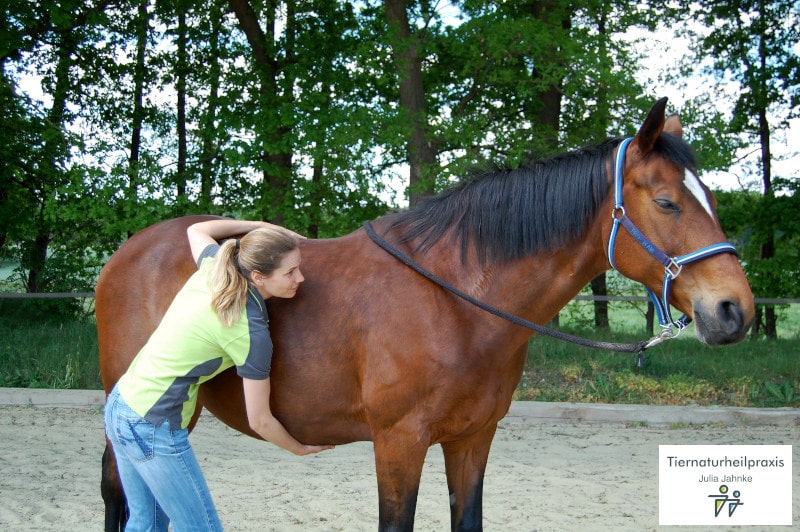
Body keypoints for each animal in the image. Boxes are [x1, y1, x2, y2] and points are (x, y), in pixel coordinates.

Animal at [97, 97, 752, 528]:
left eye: (713, 198)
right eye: (666, 202)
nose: (734, 310)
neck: (456, 303)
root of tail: (124, 253)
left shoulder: (472, 440)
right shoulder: (399, 443)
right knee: (119, 493)